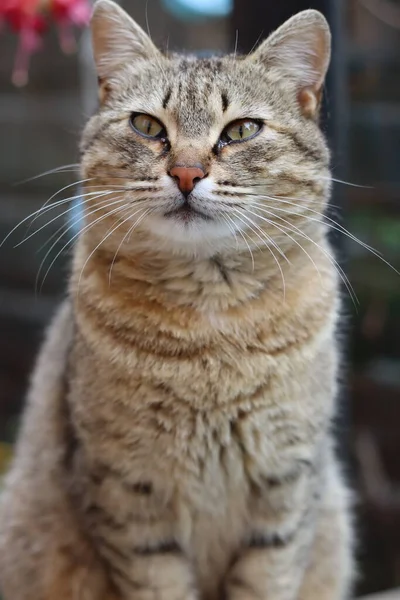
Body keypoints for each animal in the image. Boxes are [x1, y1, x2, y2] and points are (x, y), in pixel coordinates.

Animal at [0, 1, 356, 600]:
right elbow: (159, 581)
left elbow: (268, 576)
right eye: (147, 126)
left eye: (241, 130)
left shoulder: (288, 485)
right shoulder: (126, 489)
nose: (187, 172)